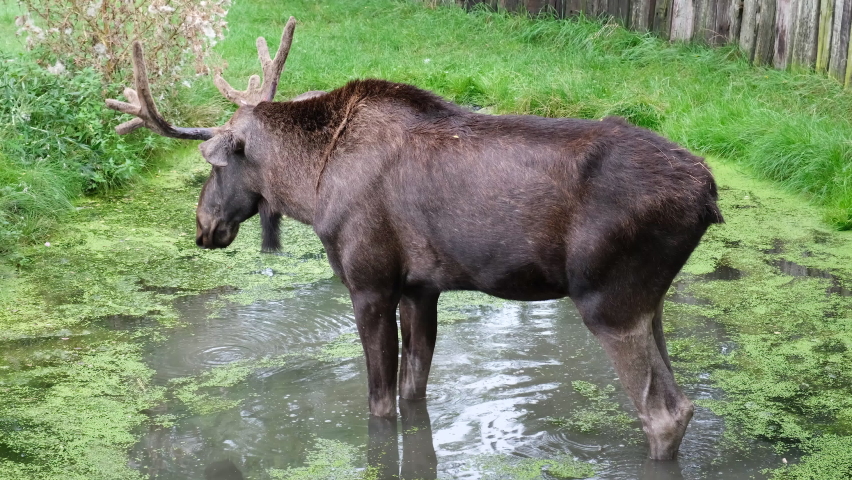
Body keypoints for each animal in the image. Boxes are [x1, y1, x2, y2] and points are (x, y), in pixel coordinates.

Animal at [106, 16, 723, 460]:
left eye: (213, 167)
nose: (203, 226)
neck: (311, 184)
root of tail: (709, 196)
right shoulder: (421, 288)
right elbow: (413, 394)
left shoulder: (370, 283)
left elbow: (379, 404)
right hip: (648, 302)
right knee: (684, 403)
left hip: (607, 299)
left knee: (662, 413)